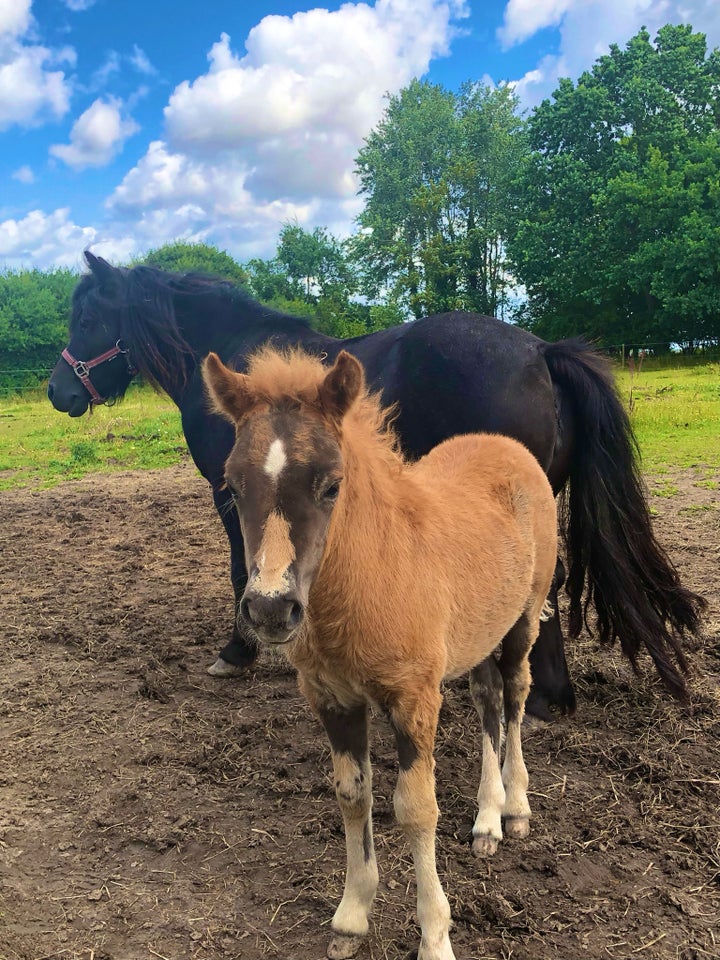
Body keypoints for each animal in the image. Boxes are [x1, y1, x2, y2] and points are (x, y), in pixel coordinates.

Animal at [47, 251, 704, 716]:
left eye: (88, 319)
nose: (58, 391)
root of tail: (541, 351)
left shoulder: (231, 493)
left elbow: (242, 569)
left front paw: (237, 653)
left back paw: (540, 693)